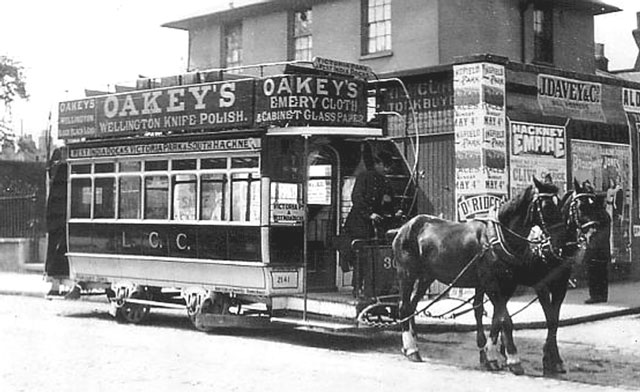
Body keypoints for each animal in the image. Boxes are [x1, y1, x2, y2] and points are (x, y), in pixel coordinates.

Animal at [390, 177, 604, 374]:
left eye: (560, 204)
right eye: (546, 207)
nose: (557, 241)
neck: (499, 238)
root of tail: (406, 226)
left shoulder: (520, 284)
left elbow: (500, 320)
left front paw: (493, 356)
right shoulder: (510, 284)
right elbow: (508, 320)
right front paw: (515, 359)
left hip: (426, 276)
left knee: (412, 305)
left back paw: (411, 345)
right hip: (406, 273)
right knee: (403, 306)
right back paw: (412, 349)